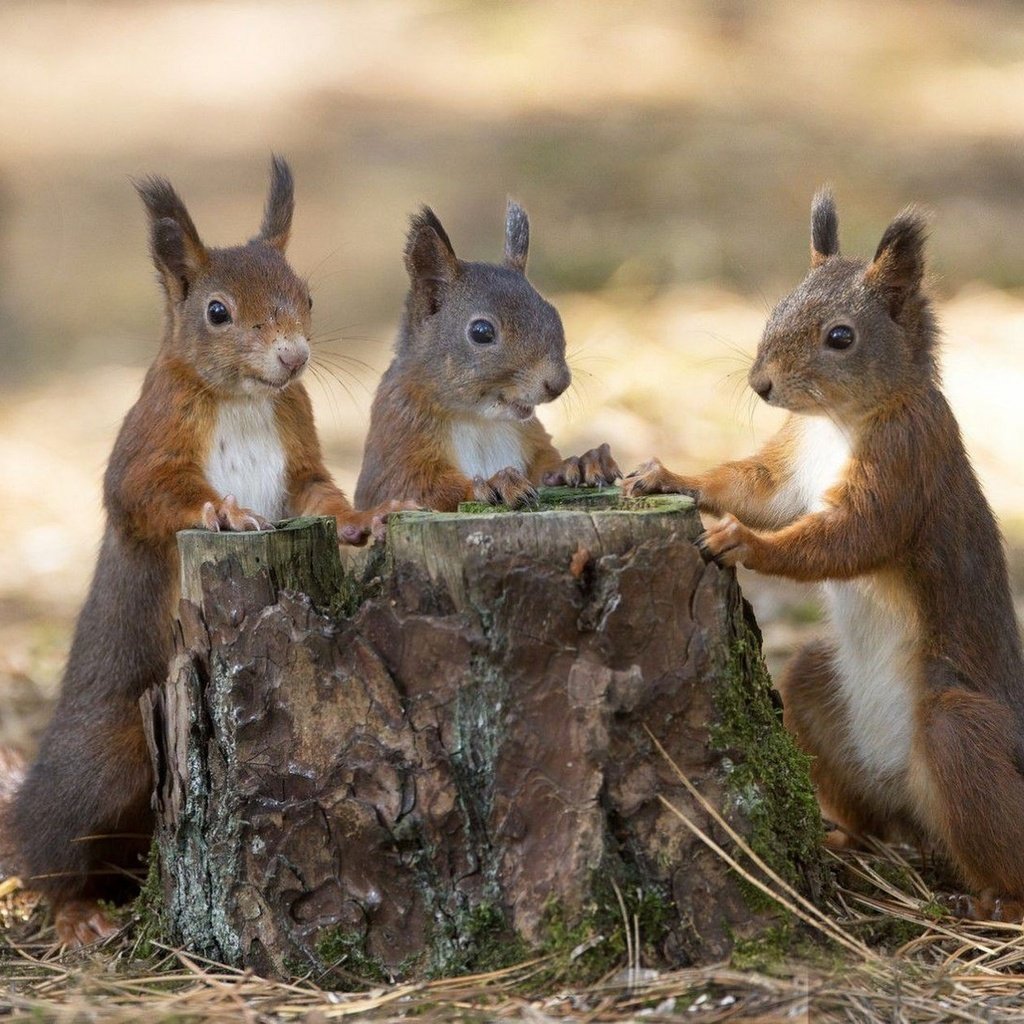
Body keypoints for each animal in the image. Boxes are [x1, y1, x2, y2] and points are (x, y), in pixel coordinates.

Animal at [12, 155, 405, 946]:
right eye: (217, 312)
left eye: (307, 296)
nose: (293, 357)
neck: (246, 400)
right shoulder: (148, 442)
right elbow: (146, 495)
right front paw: (223, 512)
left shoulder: (298, 453)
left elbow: (320, 498)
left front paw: (363, 519)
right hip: (104, 763)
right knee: (51, 851)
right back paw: (75, 913)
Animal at [356, 199, 618, 512]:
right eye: (481, 332)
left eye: (553, 314)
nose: (558, 383)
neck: (480, 421)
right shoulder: (396, 438)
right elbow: (412, 490)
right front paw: (495, 484)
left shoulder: (531, 438)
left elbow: (546, 469)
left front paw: (582, 462)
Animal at [618, 190, 1024, 921]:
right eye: (777, 307)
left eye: (841, 337)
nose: (761, 385)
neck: (838, 423)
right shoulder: (789, 466)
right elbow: (755, 490)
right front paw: (670, 477)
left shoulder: (906, 461)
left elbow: (849, 536)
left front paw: (743, 543)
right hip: (816, 691)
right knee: (874, 813)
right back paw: (844, 841)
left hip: (961, 732)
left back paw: (1000, 903)